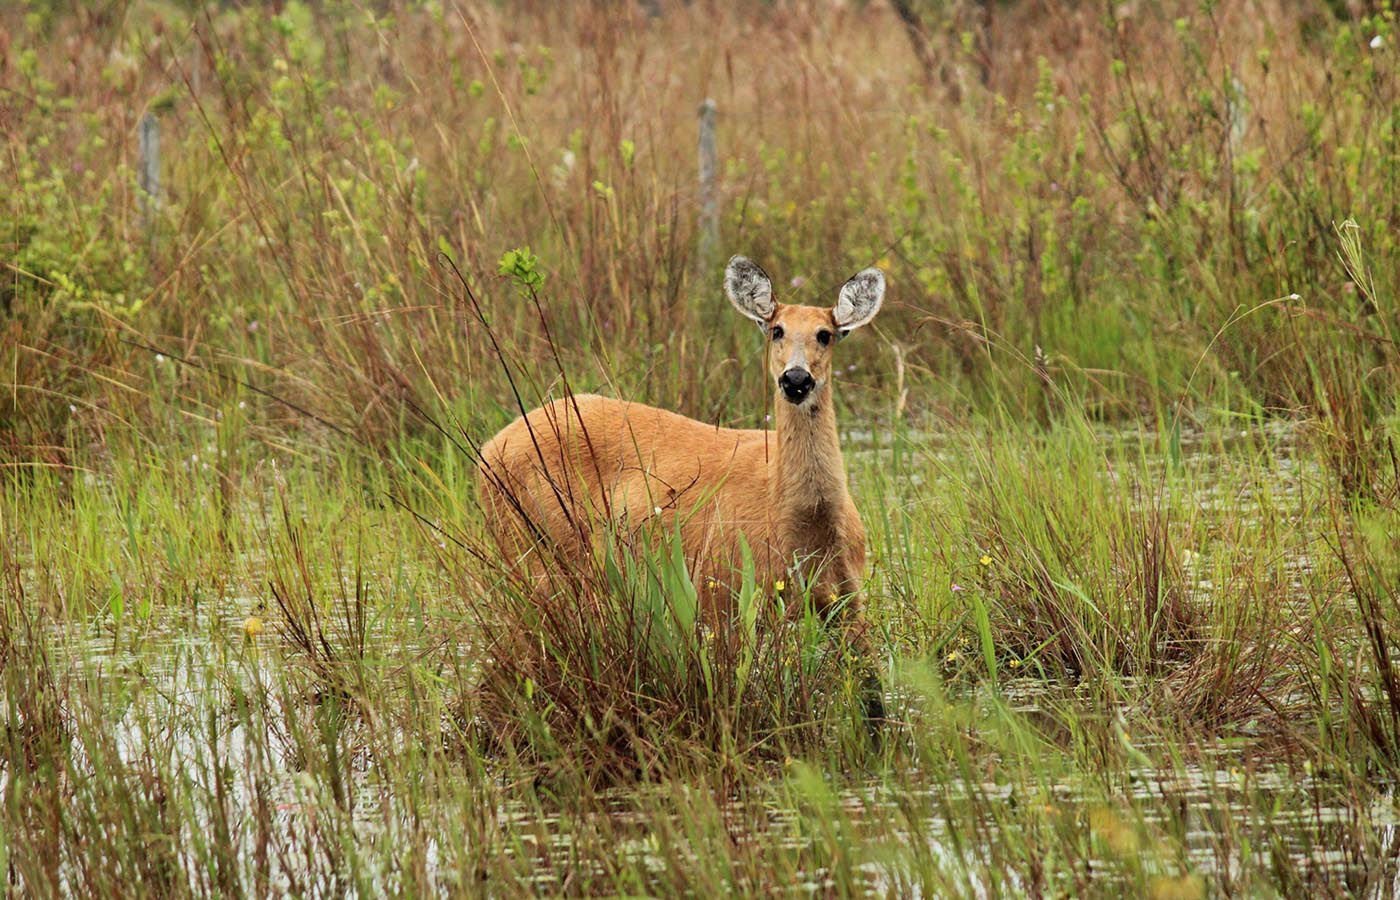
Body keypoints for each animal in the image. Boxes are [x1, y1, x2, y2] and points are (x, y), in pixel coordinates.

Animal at [476, 256, 887, 726]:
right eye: (776, 330)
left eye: (825, 333)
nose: (796, 379)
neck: (800, 524)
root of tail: (487, 451)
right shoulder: (728, 590)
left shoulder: (848, 597)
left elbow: (874, 697)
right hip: (532, 550)